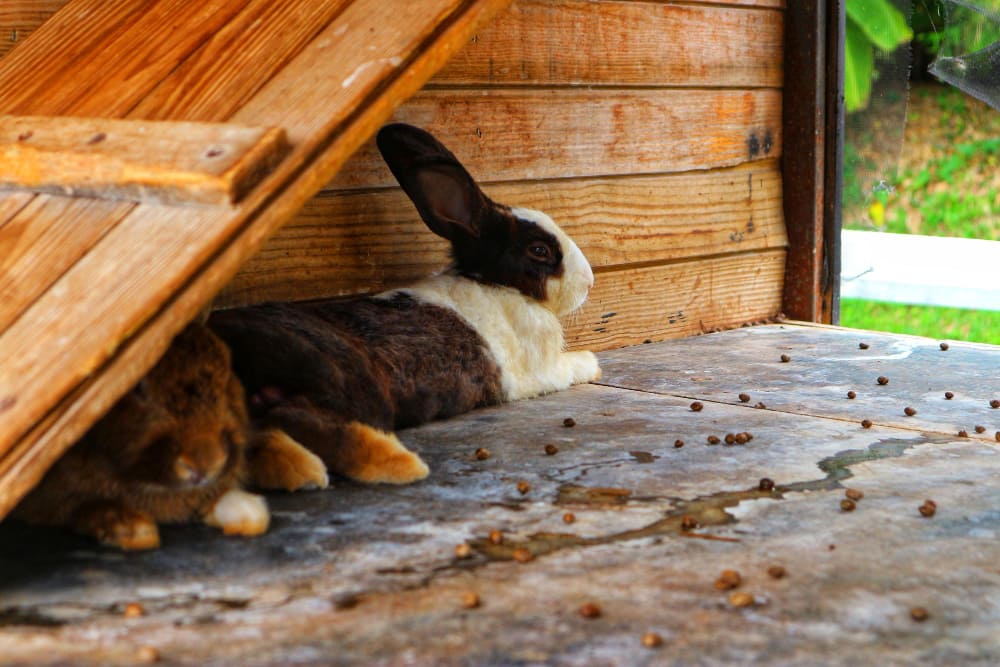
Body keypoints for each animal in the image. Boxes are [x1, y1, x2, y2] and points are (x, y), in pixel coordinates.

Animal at [12, 320, 328, 550]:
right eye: (136, 387)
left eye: (225, 374)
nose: (205, 464)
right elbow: (79, 508)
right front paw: (133, 531)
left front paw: (304, 472)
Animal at [207, 123, 601, 485]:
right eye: (540, 250)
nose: (589, 281)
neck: (491, 282)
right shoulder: (540, 370)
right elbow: (570, 367)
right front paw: (592, 364)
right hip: (346, 380)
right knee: (312, 423)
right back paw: (383, 465)